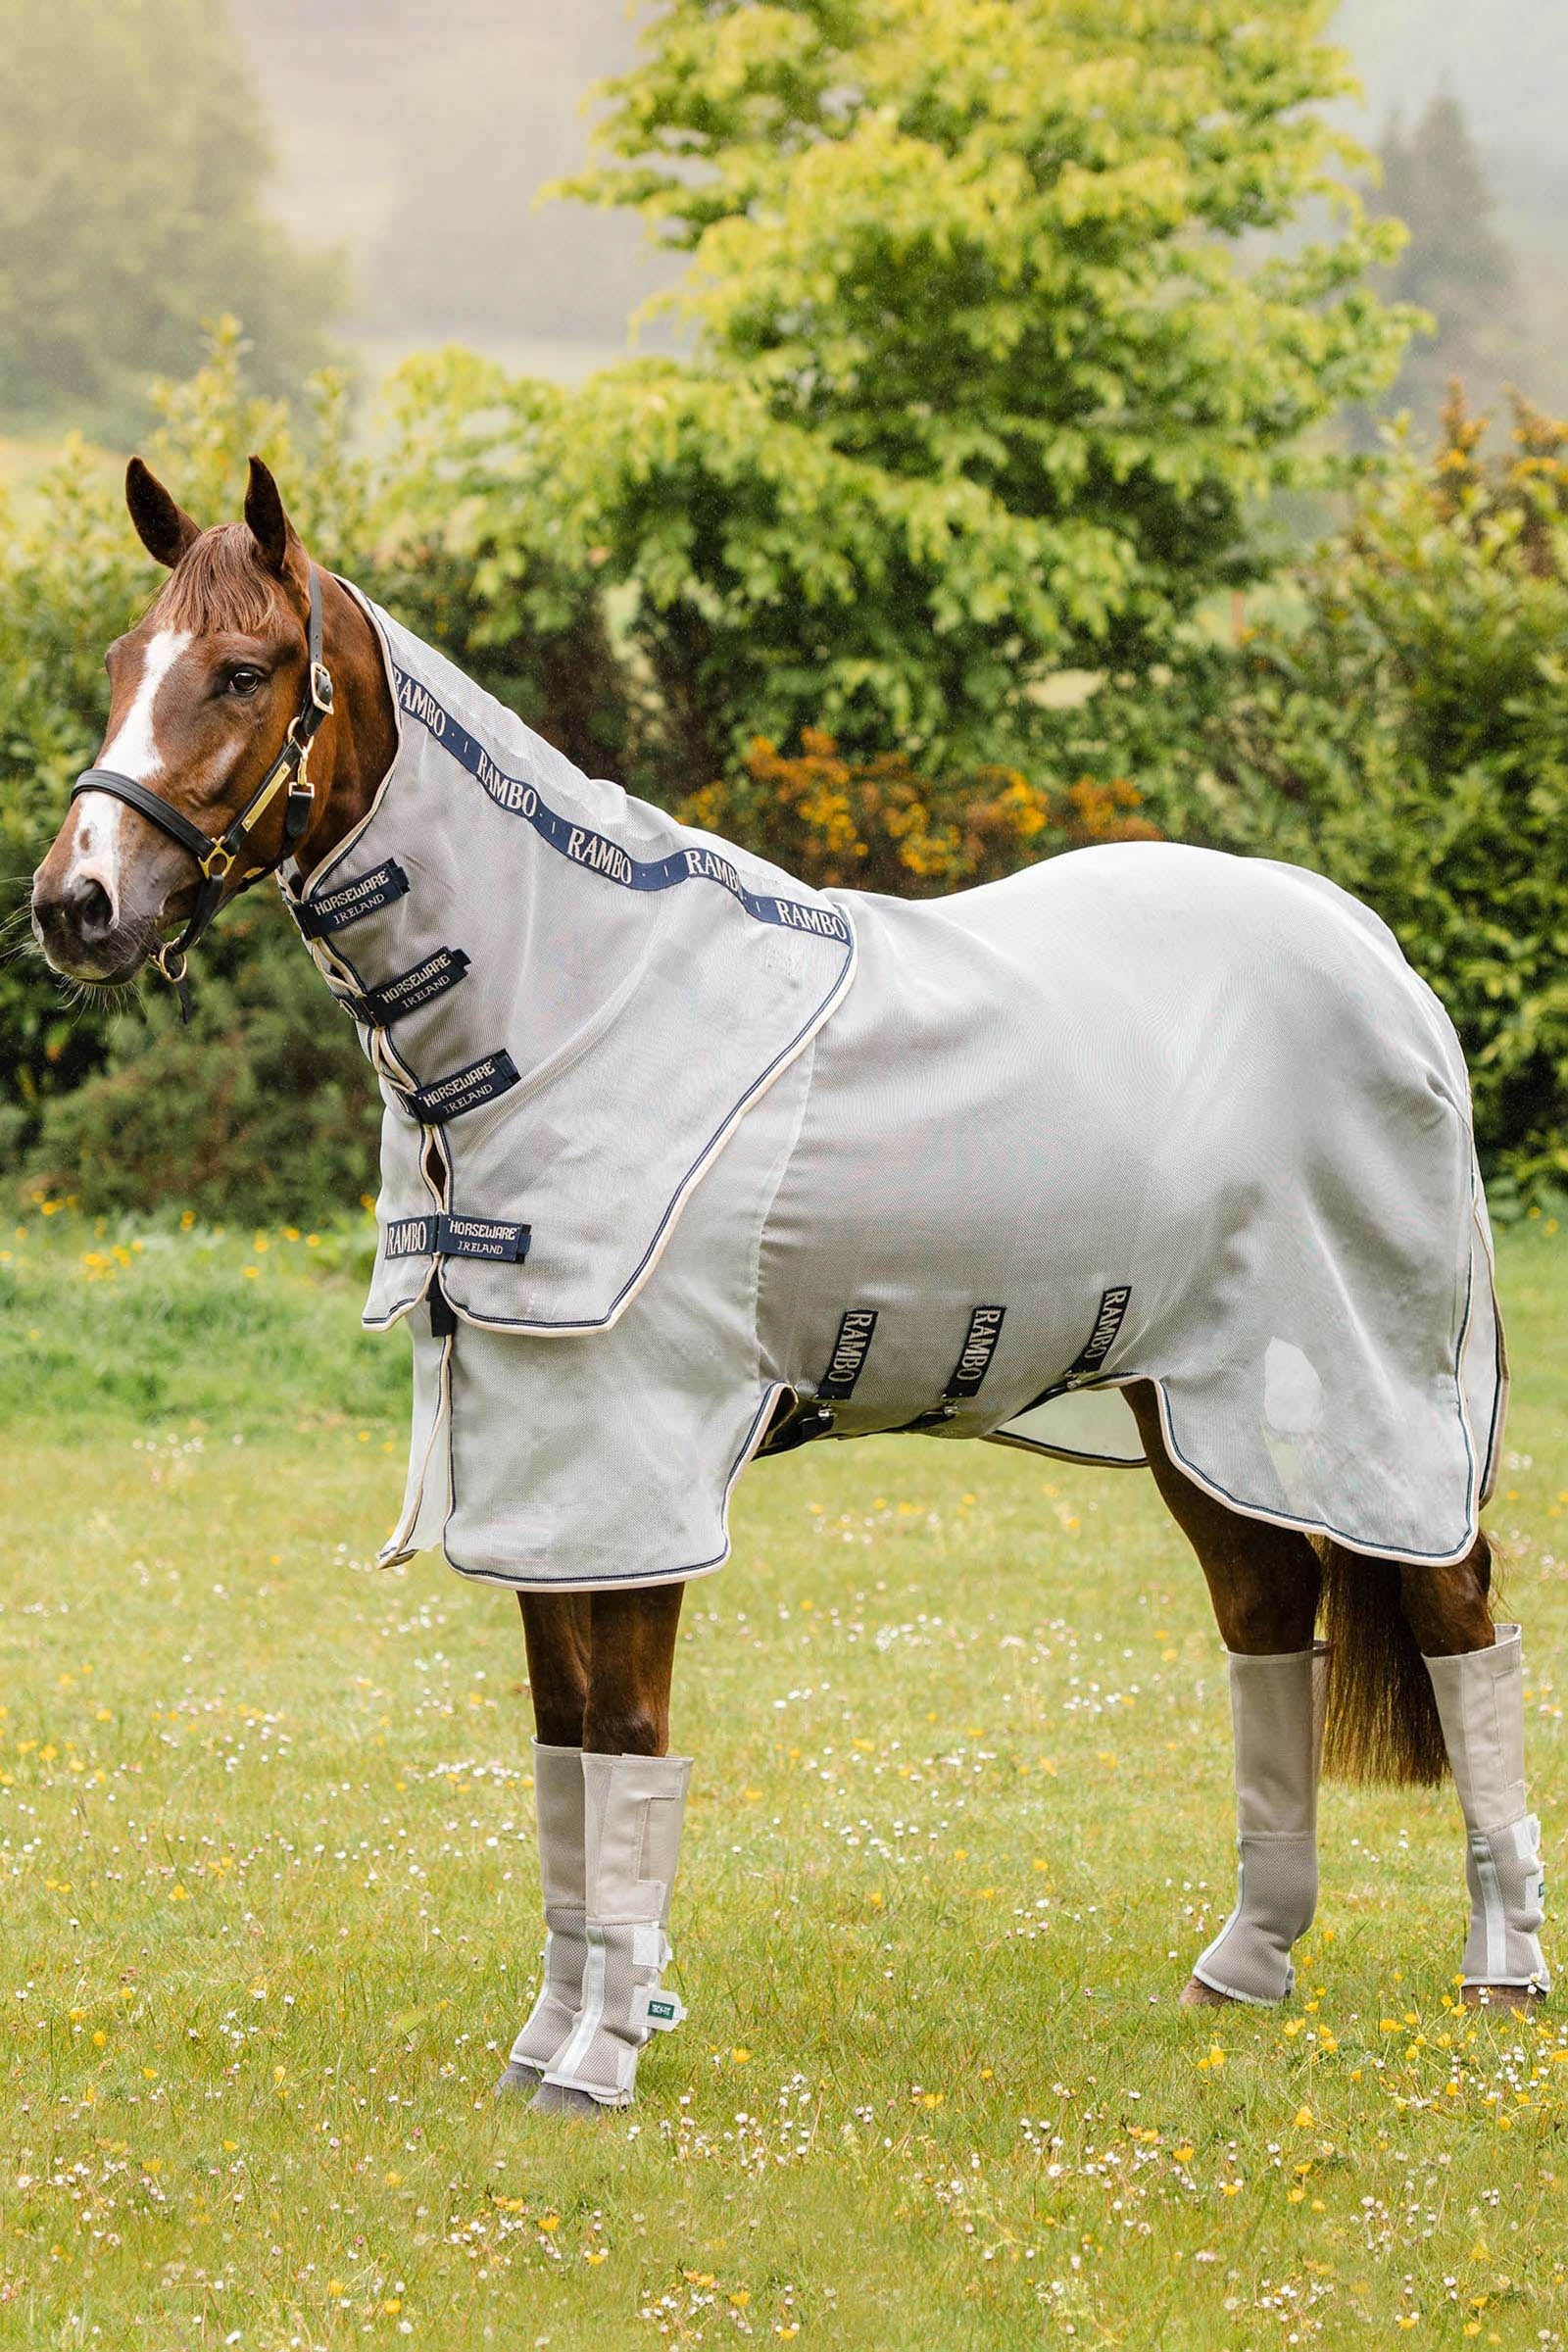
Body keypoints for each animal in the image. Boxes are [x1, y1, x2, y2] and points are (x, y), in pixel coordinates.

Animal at [30, 459, 1548, 2118]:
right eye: (120, 662)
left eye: (242, 672)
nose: (76, 905)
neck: (575, 1006)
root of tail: (1371, 950)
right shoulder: (544, 1473)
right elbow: (564, 1759)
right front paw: (546, 2045)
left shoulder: (631, 1465)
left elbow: (628, 1742)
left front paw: (600, 2065)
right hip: (1192, 1403)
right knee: (1271, 1617)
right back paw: (1247, 1967)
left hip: (1368, 1388)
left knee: (1461, 1620)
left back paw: (1500, 1974)